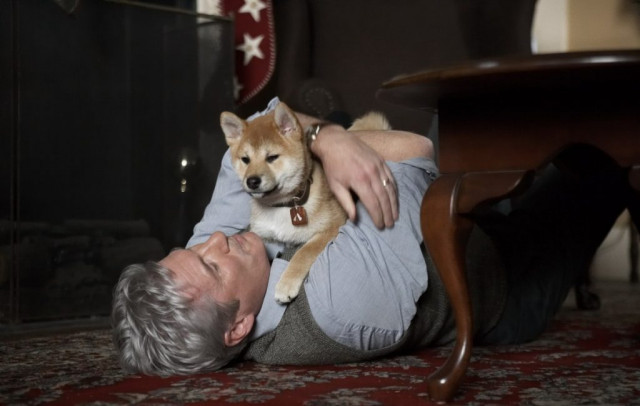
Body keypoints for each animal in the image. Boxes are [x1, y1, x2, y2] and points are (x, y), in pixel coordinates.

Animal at [220, 102, 389, 303]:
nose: (252, 181)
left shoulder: (333, 226)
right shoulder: (263, 235)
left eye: (272, 157)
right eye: (245, 160)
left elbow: (303, 252)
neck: (283, 207)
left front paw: (286, 282)